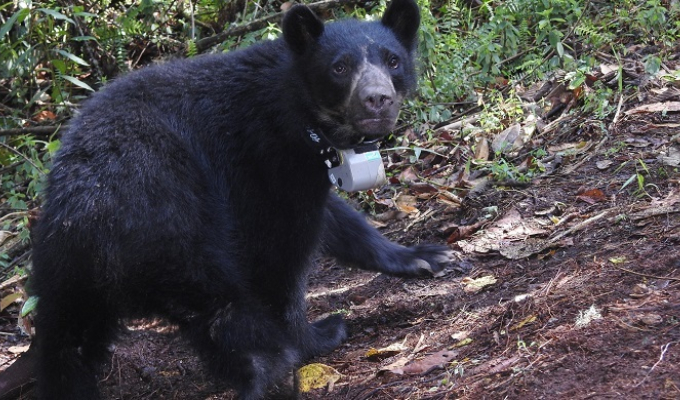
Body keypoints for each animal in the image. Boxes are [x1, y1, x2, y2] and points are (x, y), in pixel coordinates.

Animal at [29, 0, 453, 398]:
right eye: (339, 67)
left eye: (392, 59)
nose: (376, 100)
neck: (295, 115)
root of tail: (83, 218)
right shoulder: (258, 160)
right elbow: (282, 255)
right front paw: (317, 334)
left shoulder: (294, 169)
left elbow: (337, 219)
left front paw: (422, 255)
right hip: (172, 224)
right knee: (226, 308)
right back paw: (268, 371)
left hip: (63, 278)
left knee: (63, 349)